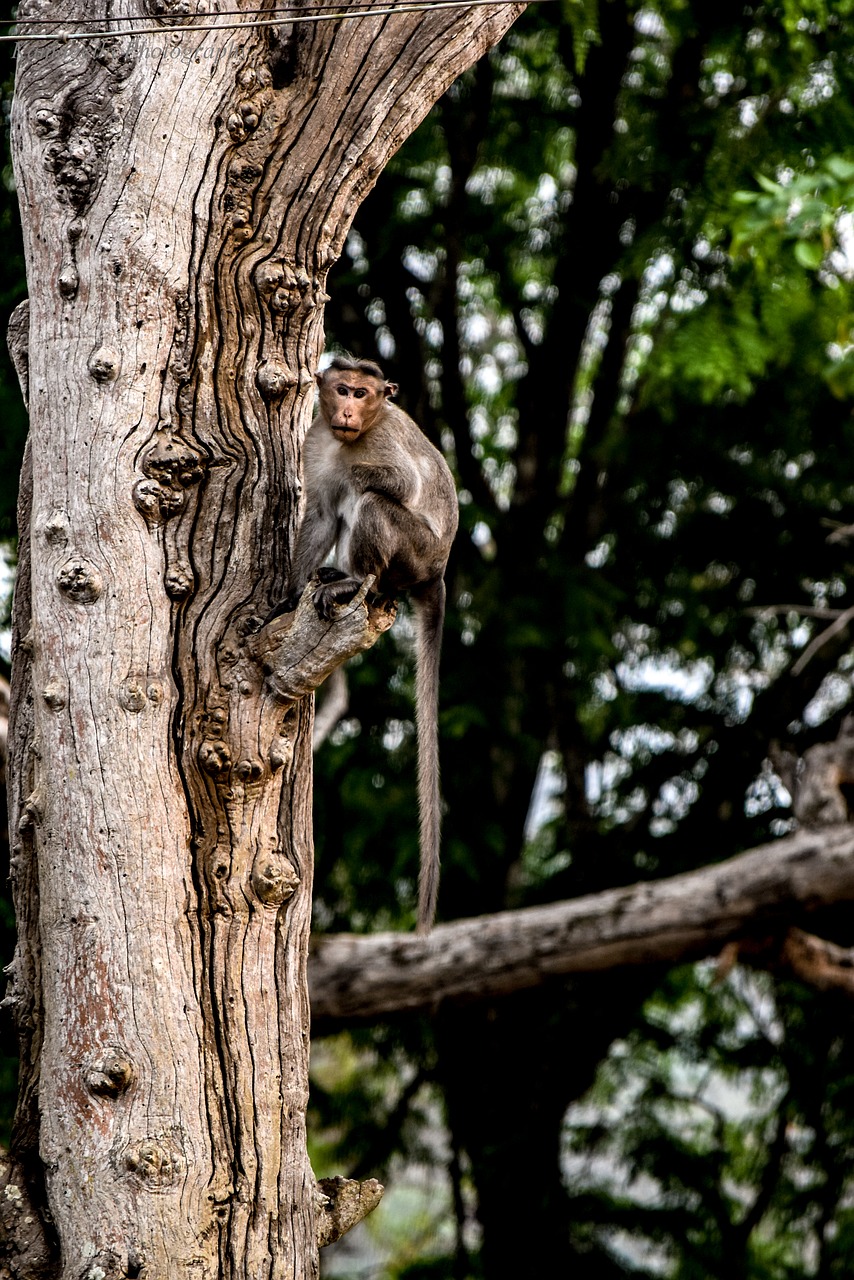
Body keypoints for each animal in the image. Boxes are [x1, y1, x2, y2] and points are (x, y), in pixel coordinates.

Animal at [277, 355, 458, 936]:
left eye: (363, 392)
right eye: (342, 389)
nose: (349, 411)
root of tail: (438, 571)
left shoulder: (379, 442)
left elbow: (393, 480)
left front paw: (355, 476)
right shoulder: (316, 441)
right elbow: (318, 515)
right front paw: (286, 596)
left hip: (414, 551)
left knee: (375, 505)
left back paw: (356, 582)